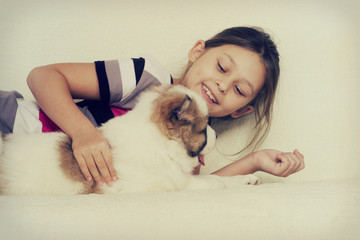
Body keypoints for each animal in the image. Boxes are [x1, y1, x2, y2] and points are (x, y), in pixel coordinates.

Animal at [0, 84, 258, 195]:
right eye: (204, 128)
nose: (217, 135)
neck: (162, 144)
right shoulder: (154, 184)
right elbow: (211, 182)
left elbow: (219, 178)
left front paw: (247, 179)